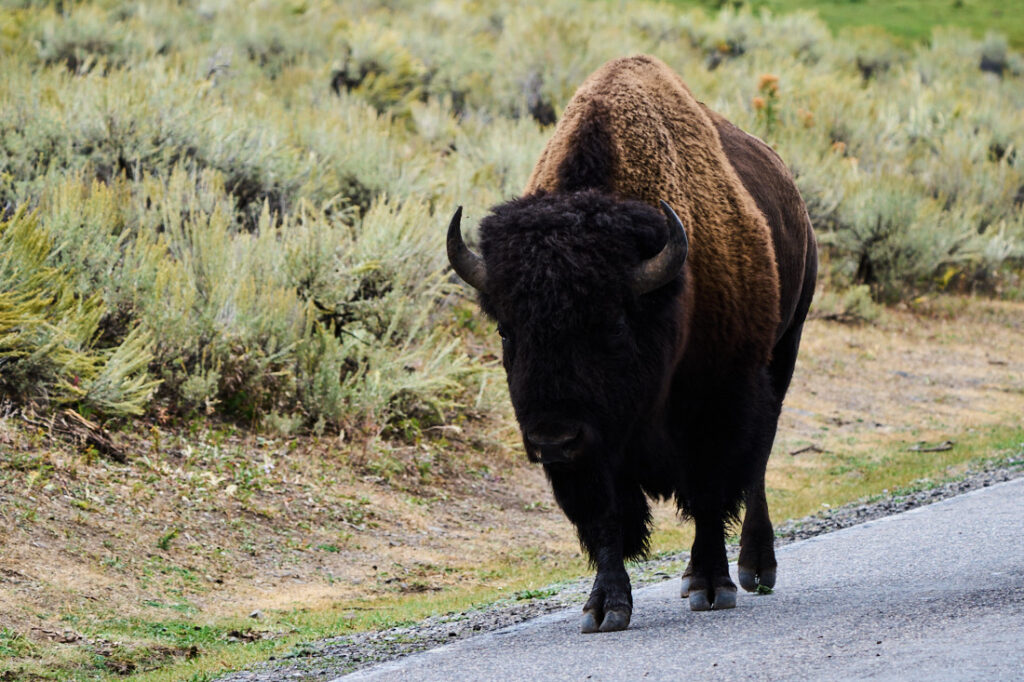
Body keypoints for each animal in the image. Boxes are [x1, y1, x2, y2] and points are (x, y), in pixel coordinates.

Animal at [447, 55, 817, 633]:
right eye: (507, 330)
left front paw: (712, 587)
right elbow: (607, 517)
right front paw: (605, 607)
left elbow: (710, 493)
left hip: (784, 351)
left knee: (756, 466)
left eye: (612, 325)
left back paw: (755, 569)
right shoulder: (594, 450)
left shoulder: (718, 402)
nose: (553, 438)